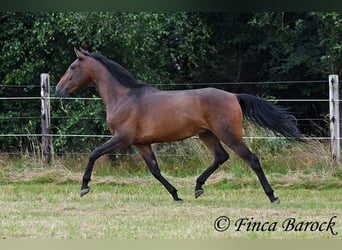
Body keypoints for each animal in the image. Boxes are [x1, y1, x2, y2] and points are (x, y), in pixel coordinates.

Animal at [56, 47, 302, 204]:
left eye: (72, 67)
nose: (59, 89)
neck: (124, 97)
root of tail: (233, 96)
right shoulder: (142, 144)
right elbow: (155, 171)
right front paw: (176, 195)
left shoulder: (122, 138)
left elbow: (94, 154)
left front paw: (84, 187)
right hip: (207, 135)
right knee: (221, 157)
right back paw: (198, 187)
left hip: (229, 135)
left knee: (252, 159)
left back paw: (272, 196)